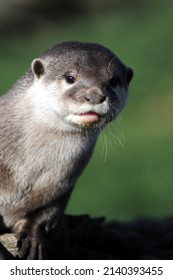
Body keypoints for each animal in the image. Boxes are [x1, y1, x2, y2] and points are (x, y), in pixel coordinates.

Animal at [0, 40, 133, 260]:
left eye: (113, 81)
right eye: (70, 78)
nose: (94, 95)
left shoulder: (61, 186)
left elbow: (45, 214)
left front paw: (32, 236)